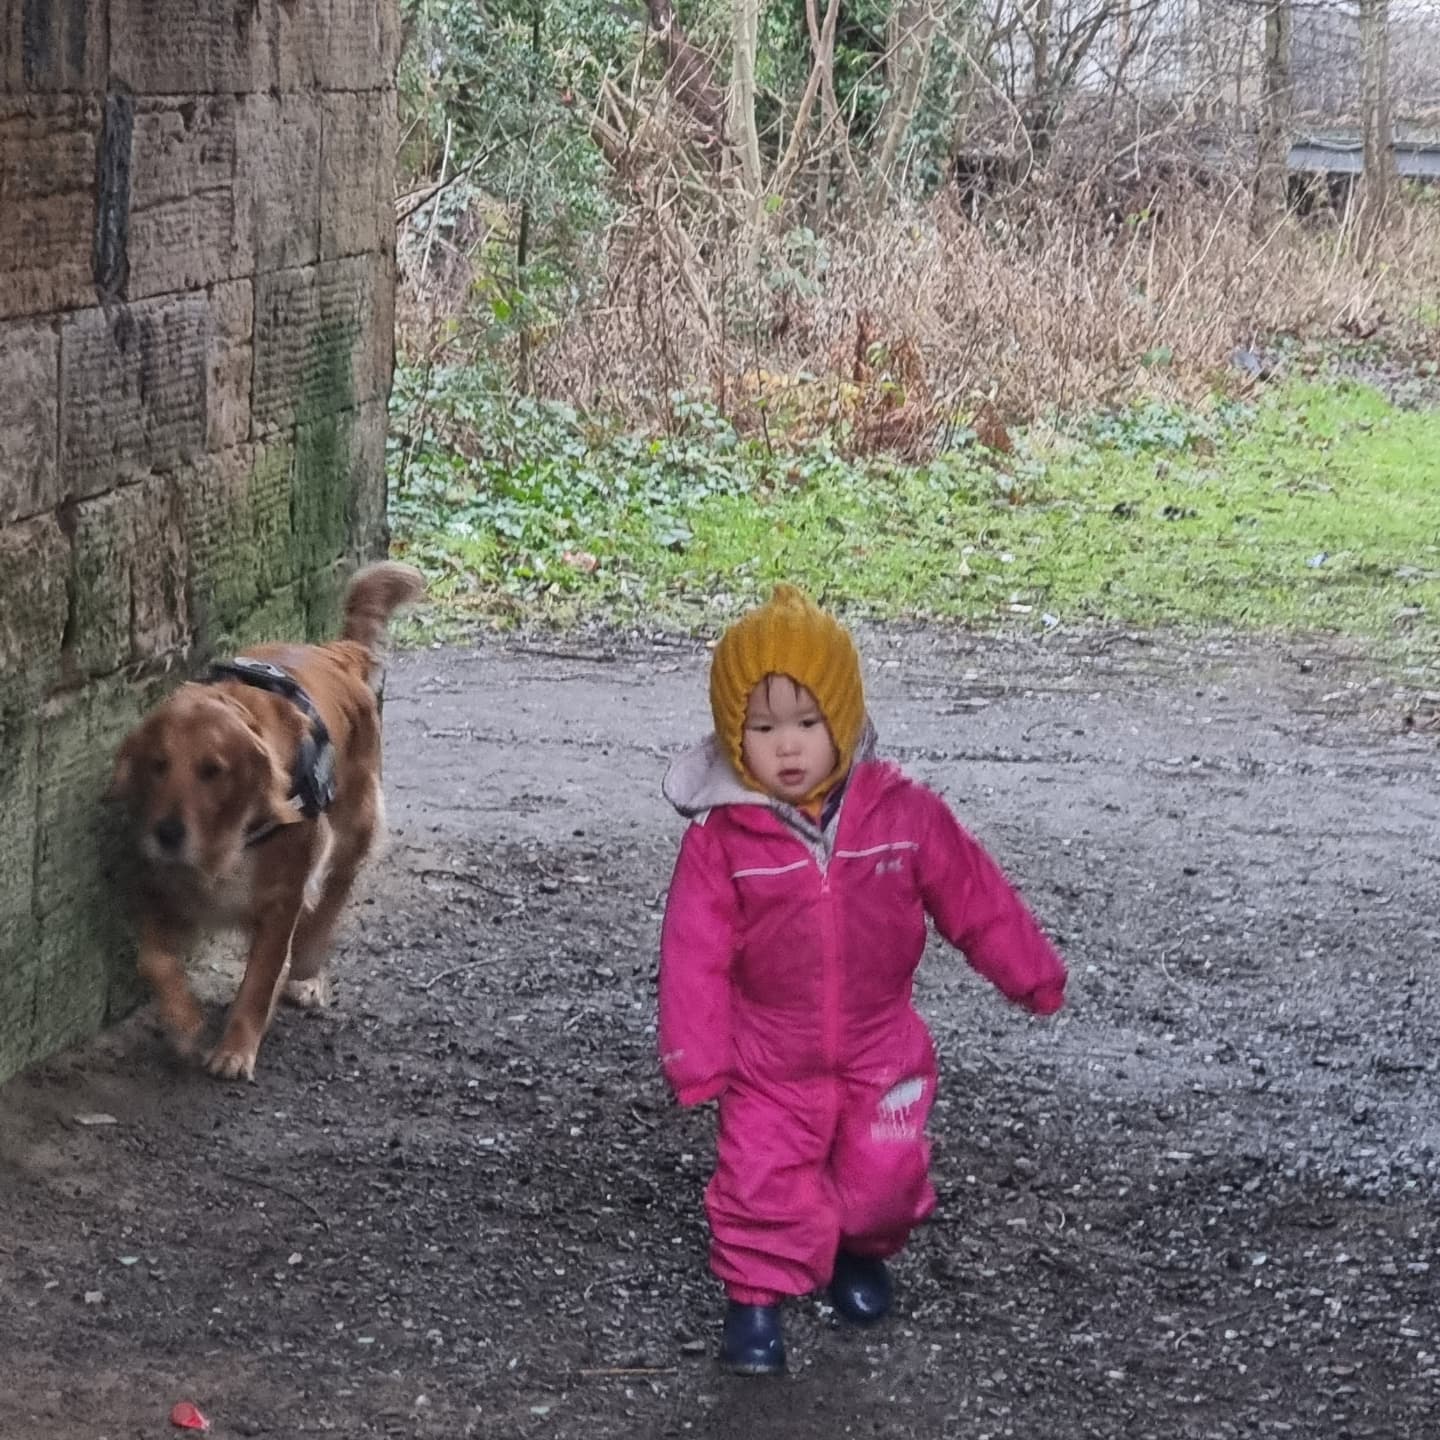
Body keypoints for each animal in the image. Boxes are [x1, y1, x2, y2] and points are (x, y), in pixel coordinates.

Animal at [108, 561, 425, 1081]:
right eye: (157, 764)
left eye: (213, 770)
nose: (168, 834)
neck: (230, 838)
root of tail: (335, 653)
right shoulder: (156, 882)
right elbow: (154, 959)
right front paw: (184, 1022)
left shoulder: (282, 899)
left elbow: (258, 981)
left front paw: (236, 1049)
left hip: (354, 825)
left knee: (334, 895)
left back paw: (306, 973)